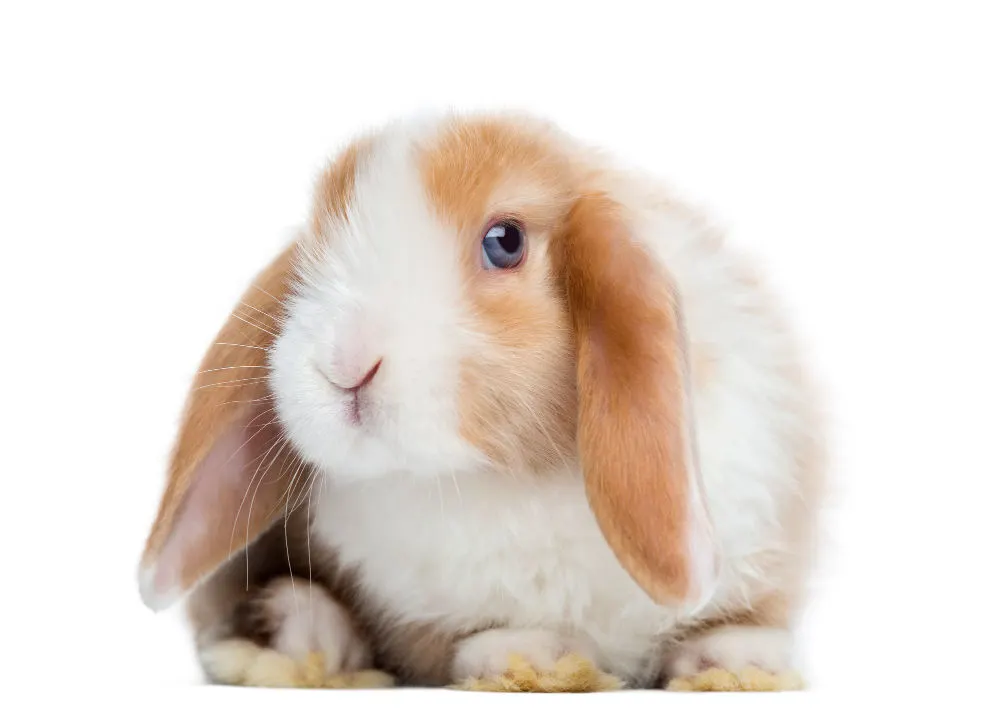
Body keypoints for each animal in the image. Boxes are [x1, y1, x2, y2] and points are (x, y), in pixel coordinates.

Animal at [137, 112, 824, 692]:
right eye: (315, 248)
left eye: (505, 242)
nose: (344, 364)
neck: (508, 477)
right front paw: (533, 659)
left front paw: (735, 663)